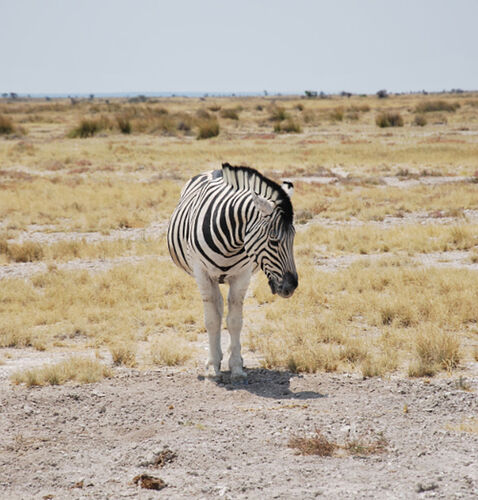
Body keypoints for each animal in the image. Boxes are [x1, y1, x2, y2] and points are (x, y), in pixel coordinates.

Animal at [166, 163, 296, 378]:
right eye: (274, 241)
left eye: (293, 238)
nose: (291, 286)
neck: (231, 240)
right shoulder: (202, 274)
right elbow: (212, 320)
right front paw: (212, 366)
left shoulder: (242, 276)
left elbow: (235, 321)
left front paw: (236, 366)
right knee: (217, 309)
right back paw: (216, 356)